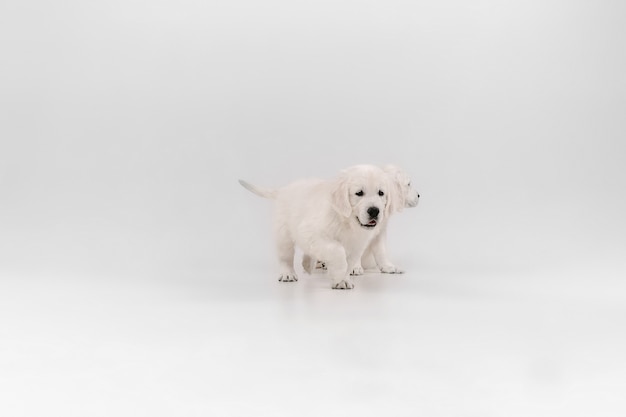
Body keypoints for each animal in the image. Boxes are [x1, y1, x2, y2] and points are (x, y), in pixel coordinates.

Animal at [239, 164, 400, 288]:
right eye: (359, 193)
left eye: (381, 193)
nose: (374, 211)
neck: (346, 221)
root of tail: (283, 189)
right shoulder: (311, 232)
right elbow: (338, 250)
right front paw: (339, 276)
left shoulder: (357, 244)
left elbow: (349, 262)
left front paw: (342, 279)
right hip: (283, 234)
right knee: (286, 257)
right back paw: (288, 274)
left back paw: (307, 265)